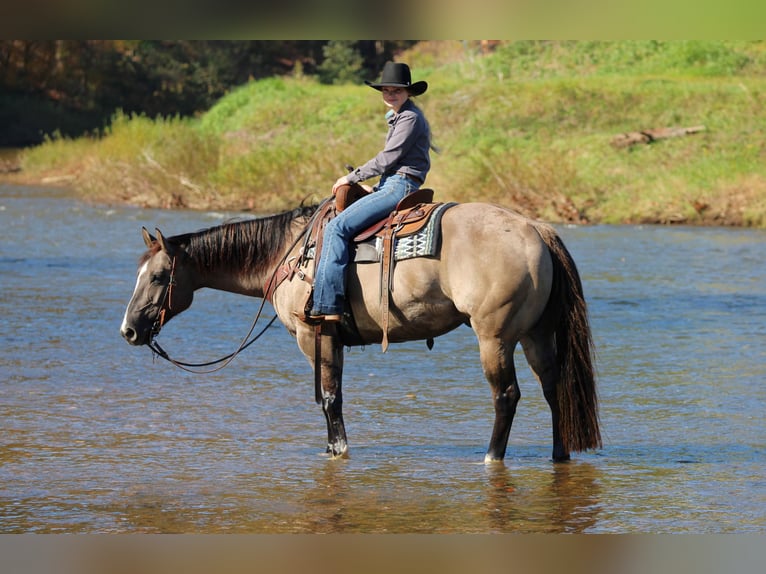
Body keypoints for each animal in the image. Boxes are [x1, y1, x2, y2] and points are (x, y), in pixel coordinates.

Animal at [120, 200, 601, 463]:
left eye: (159, 276)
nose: (128, 330)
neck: (287, 254)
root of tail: (536, 229)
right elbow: (327, 398)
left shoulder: (314, 336)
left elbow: (330, 397)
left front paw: (339, 450)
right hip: (534, 334)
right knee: (554, 389)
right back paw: (559, 453)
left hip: (495, 337)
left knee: (506, 396)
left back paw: (491, 456)